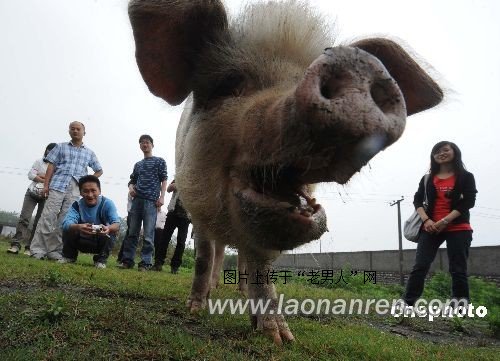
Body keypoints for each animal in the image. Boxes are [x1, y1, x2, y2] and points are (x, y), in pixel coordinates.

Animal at [128, 0, 442, 344]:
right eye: (229, 83)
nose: (353, 62)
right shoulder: (194, 205)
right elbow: (202, 256)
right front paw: (195, 309)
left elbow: (261, 266)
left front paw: (280, 337)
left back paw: (239, 293)